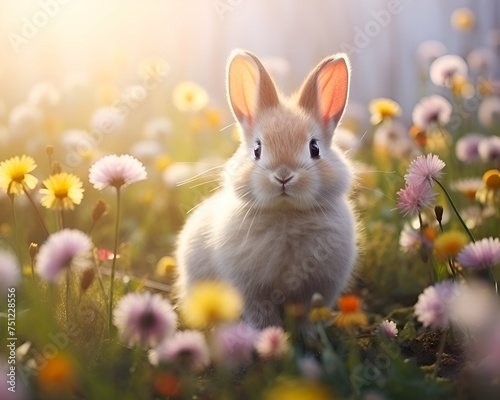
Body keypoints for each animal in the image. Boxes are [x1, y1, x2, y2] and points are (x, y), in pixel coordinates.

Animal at [178, 50, 358, 334]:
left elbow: (308, 315)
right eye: (257, 149)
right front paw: (270, 336)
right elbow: (261, 314)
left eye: (314, 148)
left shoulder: (317, 289)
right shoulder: (252, 291)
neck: (286, 215)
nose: (283, 176)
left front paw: (309, 336)